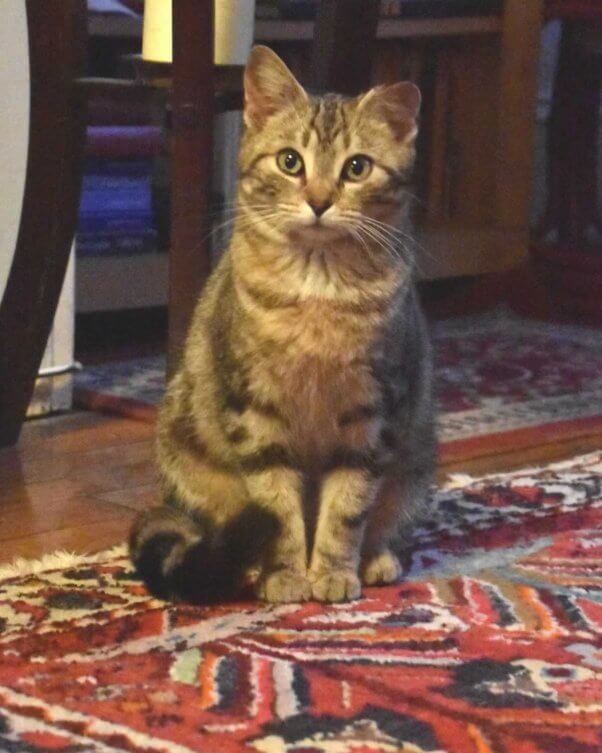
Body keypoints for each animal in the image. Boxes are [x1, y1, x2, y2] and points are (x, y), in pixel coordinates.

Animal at [129, 45, 434, 600]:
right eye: (290, 161)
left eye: (357, 167)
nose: (319, 200)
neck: (317, 288)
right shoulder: (255, 413)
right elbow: (277, 507)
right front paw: (287, 574)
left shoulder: (371, 414)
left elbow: (347, 507)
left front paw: (332, 571)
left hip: (414, 466)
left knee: (388, 521)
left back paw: (377, 558)